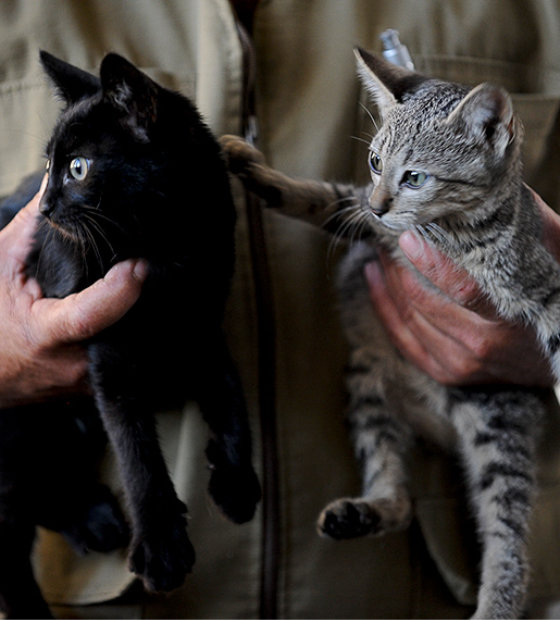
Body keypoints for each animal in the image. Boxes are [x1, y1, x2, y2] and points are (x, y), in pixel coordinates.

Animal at [0, 52, 260, 620]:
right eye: (49, 167)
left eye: (78, 167)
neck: (168, 252)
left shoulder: (202, 324)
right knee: (11, 518)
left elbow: (231, 396)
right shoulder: (110, 355)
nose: (44, 208)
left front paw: (236, 479)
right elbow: (137, 452)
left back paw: (94, 520)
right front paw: (162, 548)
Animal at [220, 48, 556, 620]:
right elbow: (323, 197)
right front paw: (259, 171)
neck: (448, 233)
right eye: (375, 162)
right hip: (367, 383)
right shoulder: (360, 210)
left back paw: (496, 602)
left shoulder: (541, 280)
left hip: (496, 413)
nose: (380, 204)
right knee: (400, 499)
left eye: (416, 177)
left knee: (508, 531)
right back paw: (366, 511)